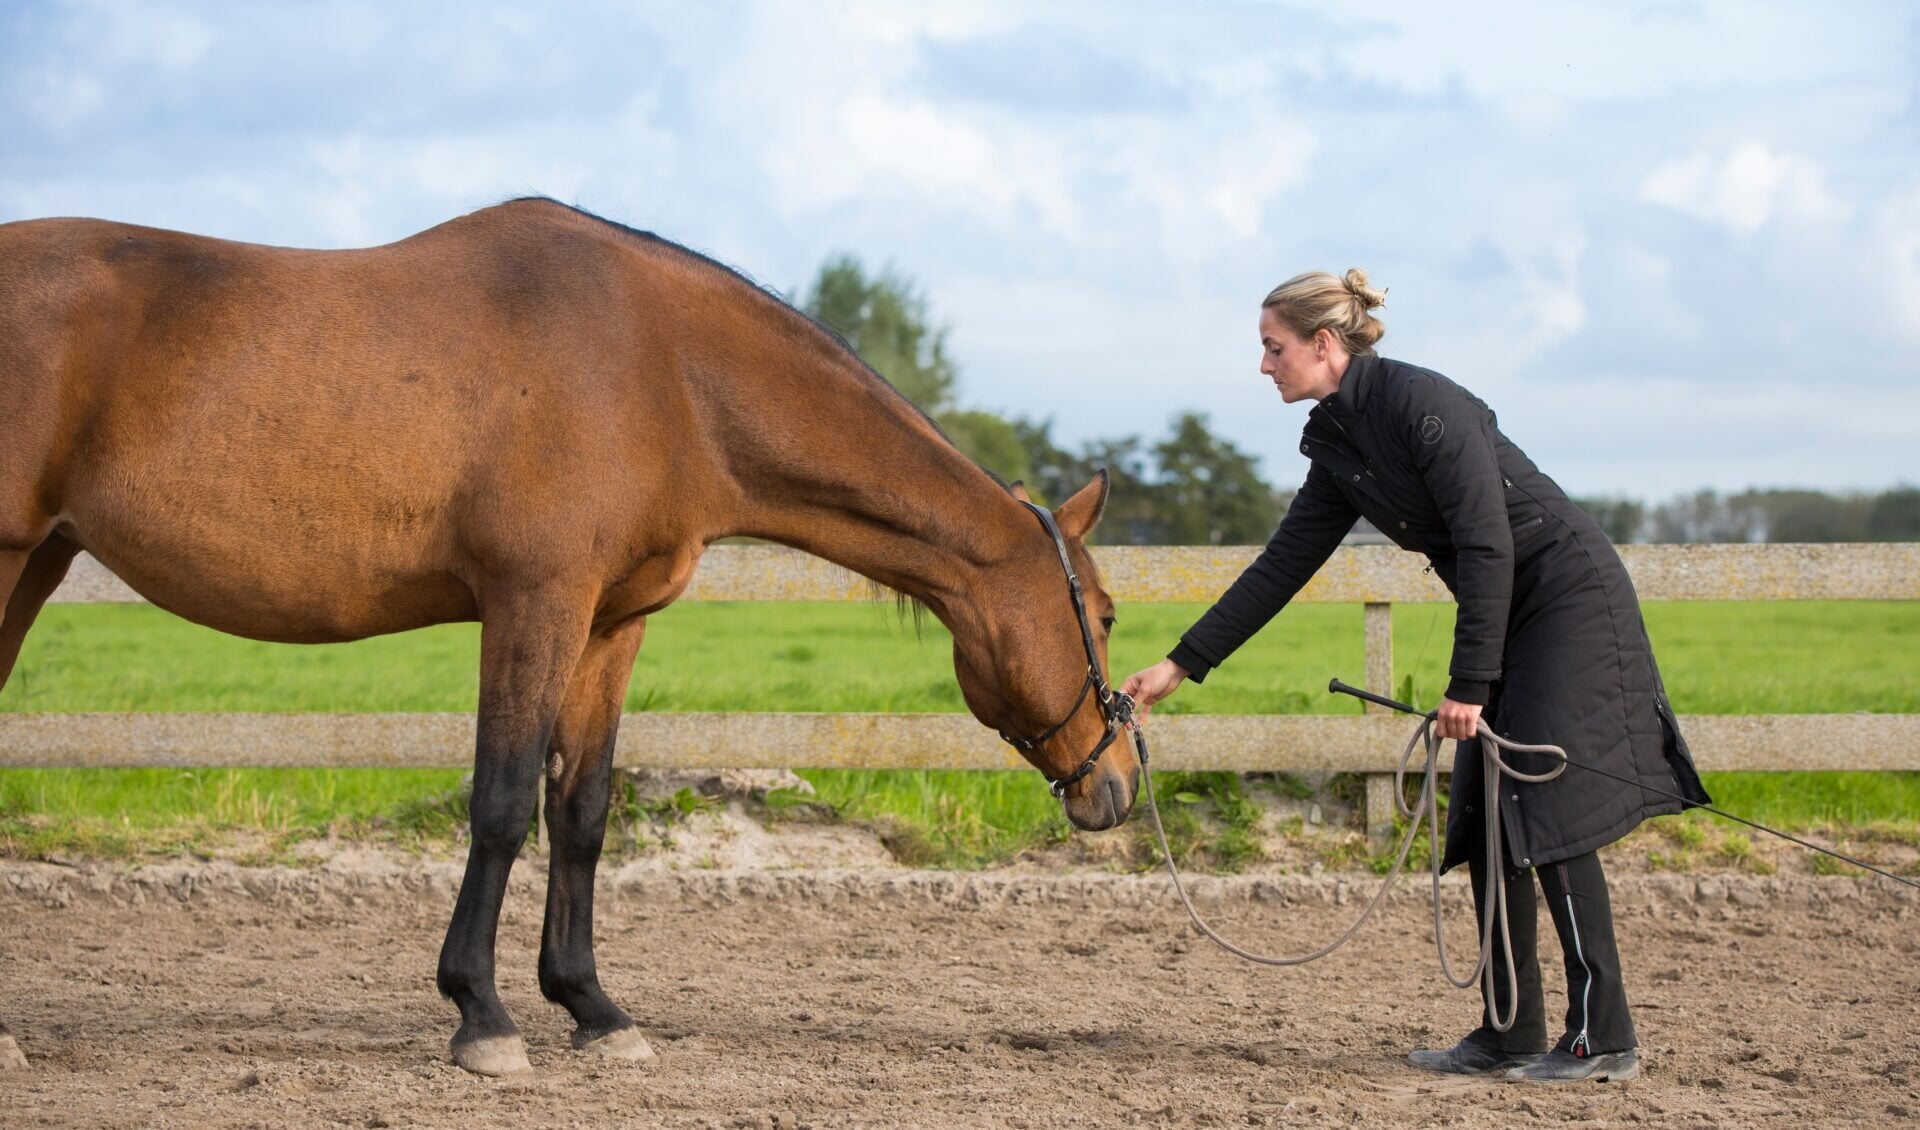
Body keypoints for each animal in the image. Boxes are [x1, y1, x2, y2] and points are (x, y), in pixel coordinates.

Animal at [0, 195, 1136, 1074]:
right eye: (1106, 614)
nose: (1120, 782)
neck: (665, 368)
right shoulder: (533, 601)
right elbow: (503, 800)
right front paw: (483, 1017)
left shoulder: (609, 623)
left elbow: (580, 810)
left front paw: (594, 1007)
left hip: (35, 562)